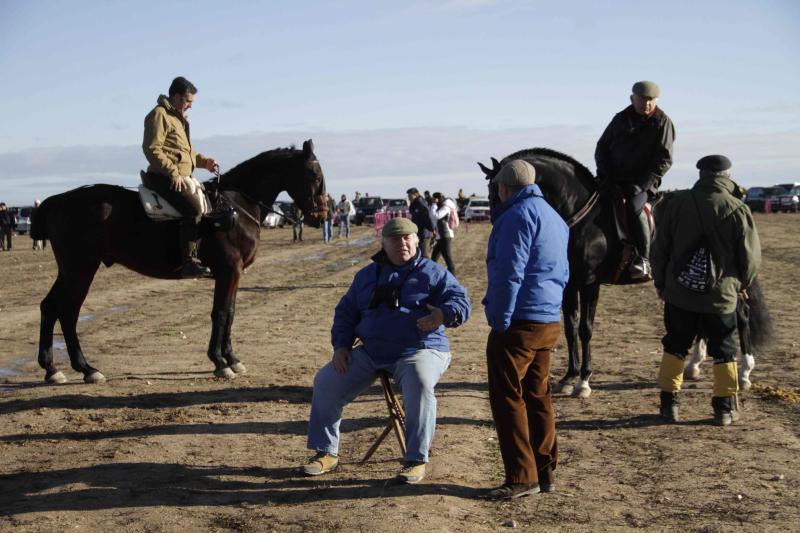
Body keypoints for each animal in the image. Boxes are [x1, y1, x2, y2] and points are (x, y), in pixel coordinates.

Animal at [29, 139, 326, 384]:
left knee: (49, 307)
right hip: (81, 269)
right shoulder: (229, 271)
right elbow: (220, 313)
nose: (321, 215)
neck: (236, 205)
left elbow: (230, 313)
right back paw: (86, 368)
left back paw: (52, 369)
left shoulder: (235, 274)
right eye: (314, 174)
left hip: (71, 271)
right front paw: (220, 362)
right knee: (68, 312)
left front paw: (232, 359)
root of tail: (58, 201)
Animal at [482, 148, 656, 396]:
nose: (499, 225)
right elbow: (570, 327)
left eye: (497, 191)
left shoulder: (590, 283)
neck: (582, 218)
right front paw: (569, 377)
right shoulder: (570, 284)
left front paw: (584, 380)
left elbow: (585, 329)